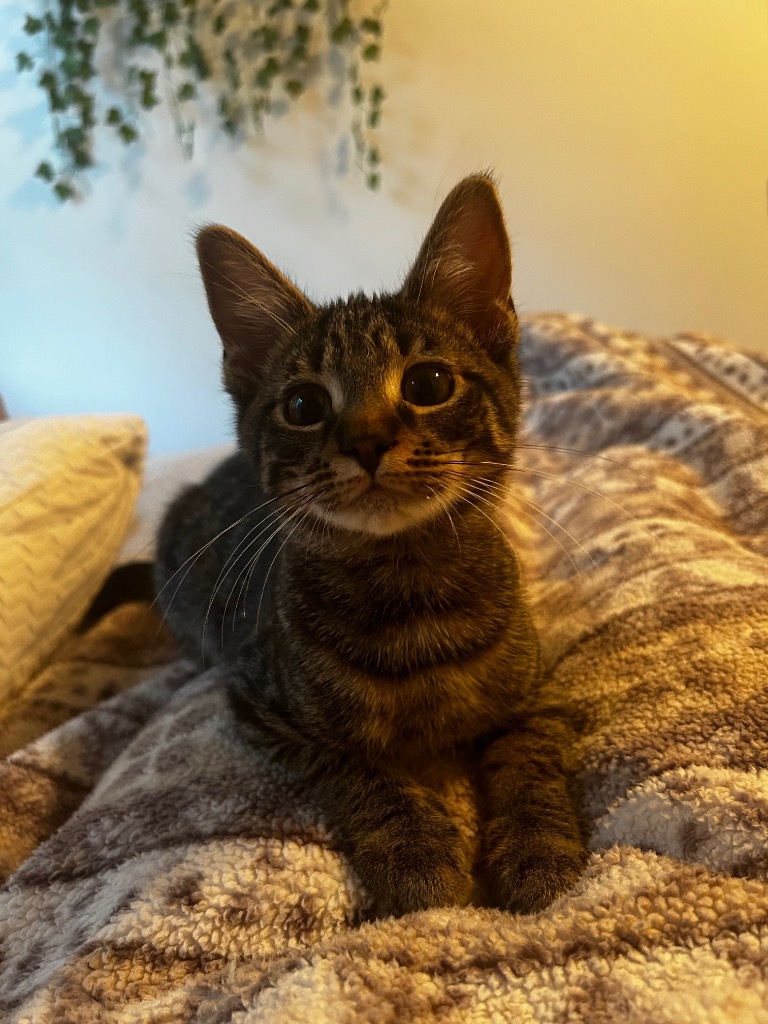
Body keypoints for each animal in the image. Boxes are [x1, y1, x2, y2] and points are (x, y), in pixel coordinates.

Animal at [157, 172, 589, 917]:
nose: (365, 440)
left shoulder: (536, 693)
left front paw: (539, 849)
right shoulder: (262, 709)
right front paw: (416, 855)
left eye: (429, 384)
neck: (407, 589)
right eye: (303, 405)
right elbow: (361, 766)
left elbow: (528, 758)